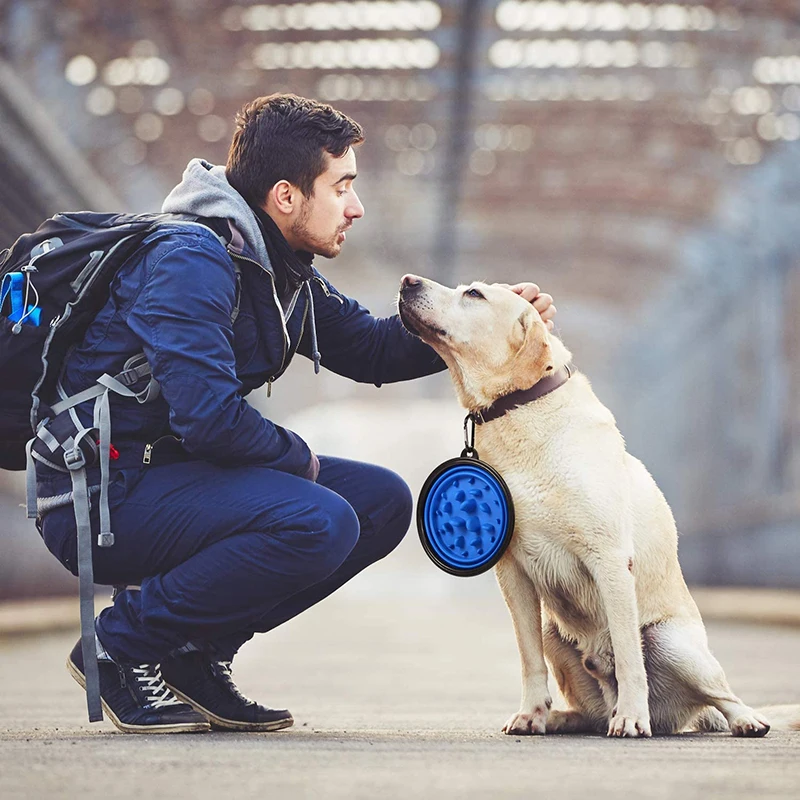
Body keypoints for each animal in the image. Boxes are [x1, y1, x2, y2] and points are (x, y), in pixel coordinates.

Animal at [396, 274, 796, 736]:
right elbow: (529, 658)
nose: (407, 281)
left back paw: (741, 719)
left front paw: (632, 718)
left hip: (673, 643)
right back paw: (559, 717)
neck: (522, 411)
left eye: (474, 294)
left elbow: (627, 654)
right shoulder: (512, 572)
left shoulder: (610, 560)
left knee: (720, 694)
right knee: (589, 709)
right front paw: (530, 713)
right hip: (554, 631)